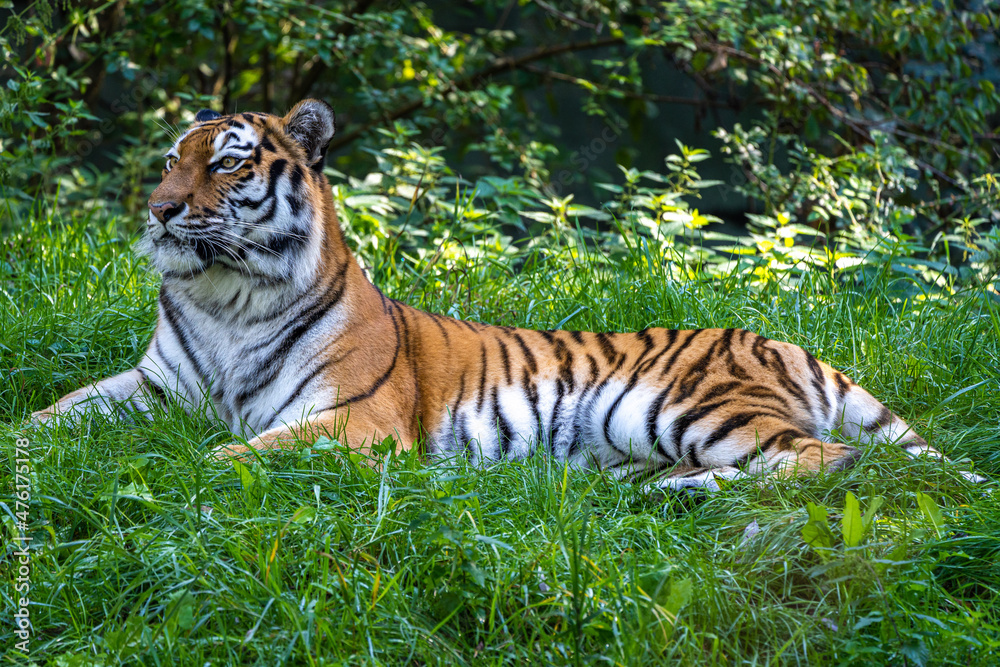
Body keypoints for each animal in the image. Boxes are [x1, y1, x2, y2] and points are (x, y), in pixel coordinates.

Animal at [31, 99, 985, 492]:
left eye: (226, 163)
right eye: (170, 160)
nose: (158, 210)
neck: (226, 296)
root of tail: (779, 340)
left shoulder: (354, 419)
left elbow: (235, 453)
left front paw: (179, 468)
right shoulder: (154, 386)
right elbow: (53, 413)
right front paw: (30, 443)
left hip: (686, 405)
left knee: (828, 461)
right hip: (633, 435)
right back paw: (652, 493)